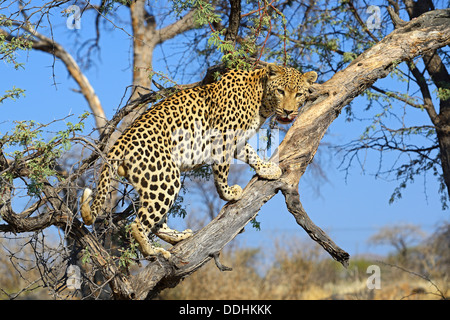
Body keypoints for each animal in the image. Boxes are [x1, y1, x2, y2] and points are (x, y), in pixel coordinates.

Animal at [81, 63, 318, 258]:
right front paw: (229, 193)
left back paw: (179, 236)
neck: (260, 99)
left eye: (299, 94)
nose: (288, 110)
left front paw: (267, 169)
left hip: (153, 180)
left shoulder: (238, 140)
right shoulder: (224, 137)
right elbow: (222, 172)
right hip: (165, 177)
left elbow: (250, 153)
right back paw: (153, 251)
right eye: (280, 91)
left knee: (155, 220)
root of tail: (119, 142)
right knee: (137, 225)